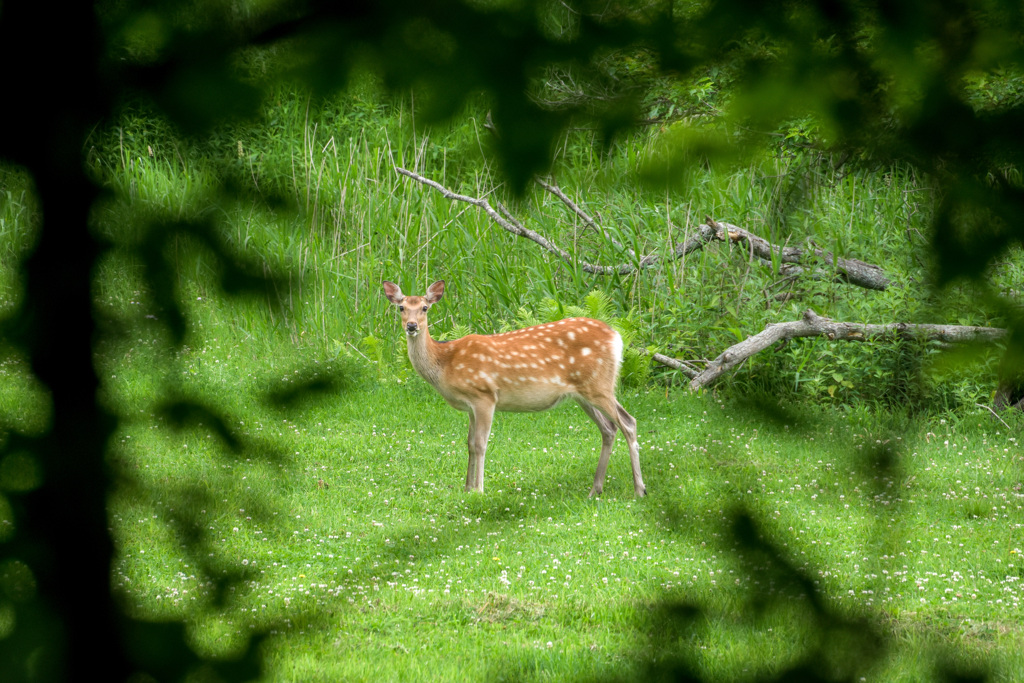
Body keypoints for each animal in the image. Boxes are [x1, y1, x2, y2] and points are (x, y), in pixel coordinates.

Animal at [385, 280, 647, 499]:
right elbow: (468, 443)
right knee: (609, 428)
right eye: (401, 308)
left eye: (425, 308)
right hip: (582, 392)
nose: (411, 326)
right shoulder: (470, 406)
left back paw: (639, 489)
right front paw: (466, 488)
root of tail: (616, 337)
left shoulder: (484, 395)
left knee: (628, 422)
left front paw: (479, 490)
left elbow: (480, 444)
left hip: (599, 385)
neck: (445, 362)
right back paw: (595, 489)